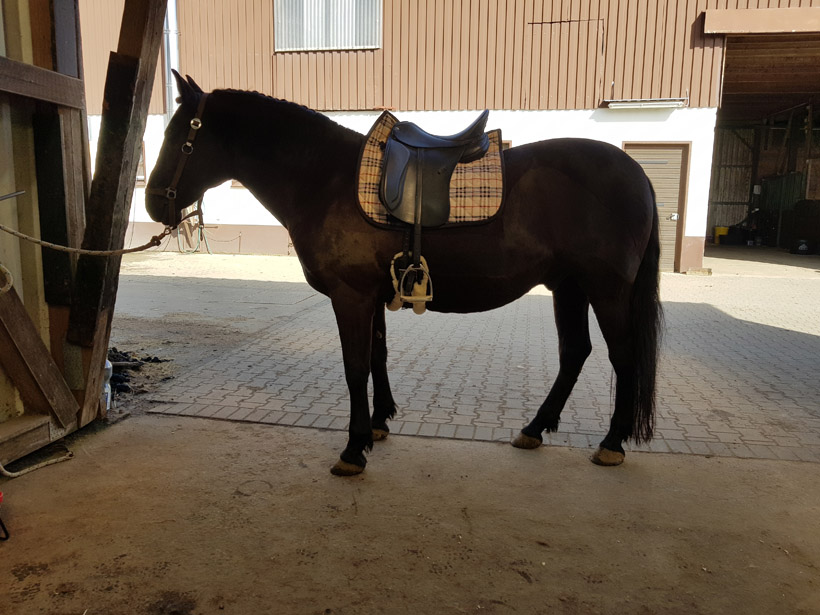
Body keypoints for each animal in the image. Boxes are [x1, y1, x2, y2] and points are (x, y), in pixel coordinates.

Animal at [146, 71, 662, 476]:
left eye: (182, 137)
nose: (153, 204)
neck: (324, 178)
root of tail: (636, 172)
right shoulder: (372, 295)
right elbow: (378, 356)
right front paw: (378, 424)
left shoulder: (350, 296)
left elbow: (355, 367)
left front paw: (353, 448)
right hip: (568, 286)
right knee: (575, 352)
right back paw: (534, 429)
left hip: (606, 290)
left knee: (622, 356)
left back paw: (611, 444)